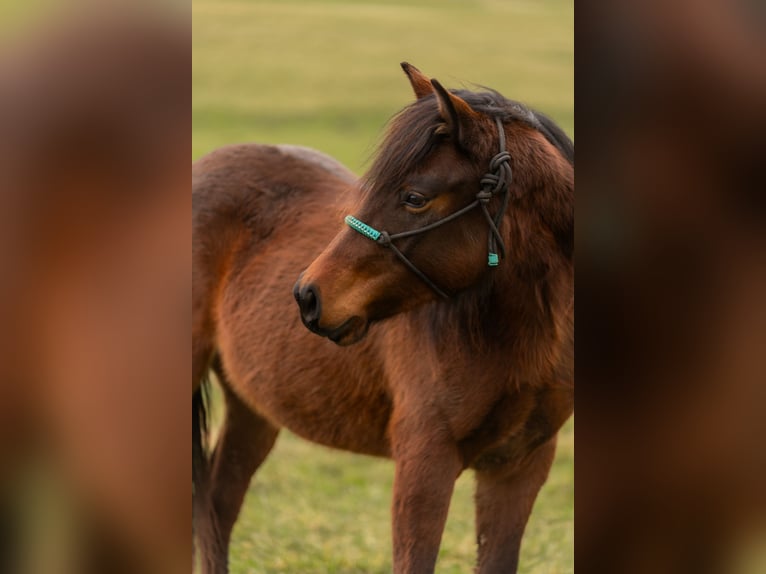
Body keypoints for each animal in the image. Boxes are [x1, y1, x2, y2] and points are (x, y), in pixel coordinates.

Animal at [192, 63, 573, 574]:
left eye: (414, 197)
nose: (308, 295)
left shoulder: (518, 467)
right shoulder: (424, 463)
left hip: (251, 407)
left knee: (219, 502)